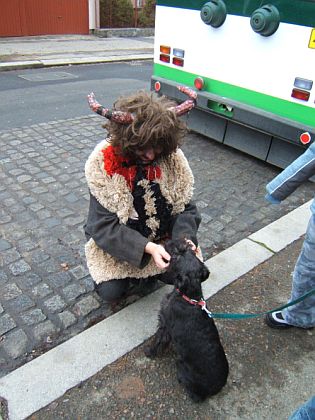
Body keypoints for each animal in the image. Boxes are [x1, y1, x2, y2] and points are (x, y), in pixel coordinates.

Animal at [146, 240, 230, 400]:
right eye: (186, 250)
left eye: (177, 256)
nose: (169, 242)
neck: (190, 298)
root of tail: (216, 388)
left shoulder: (165, 326)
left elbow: (159, 340)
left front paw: (149, 352)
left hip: (183, 369)